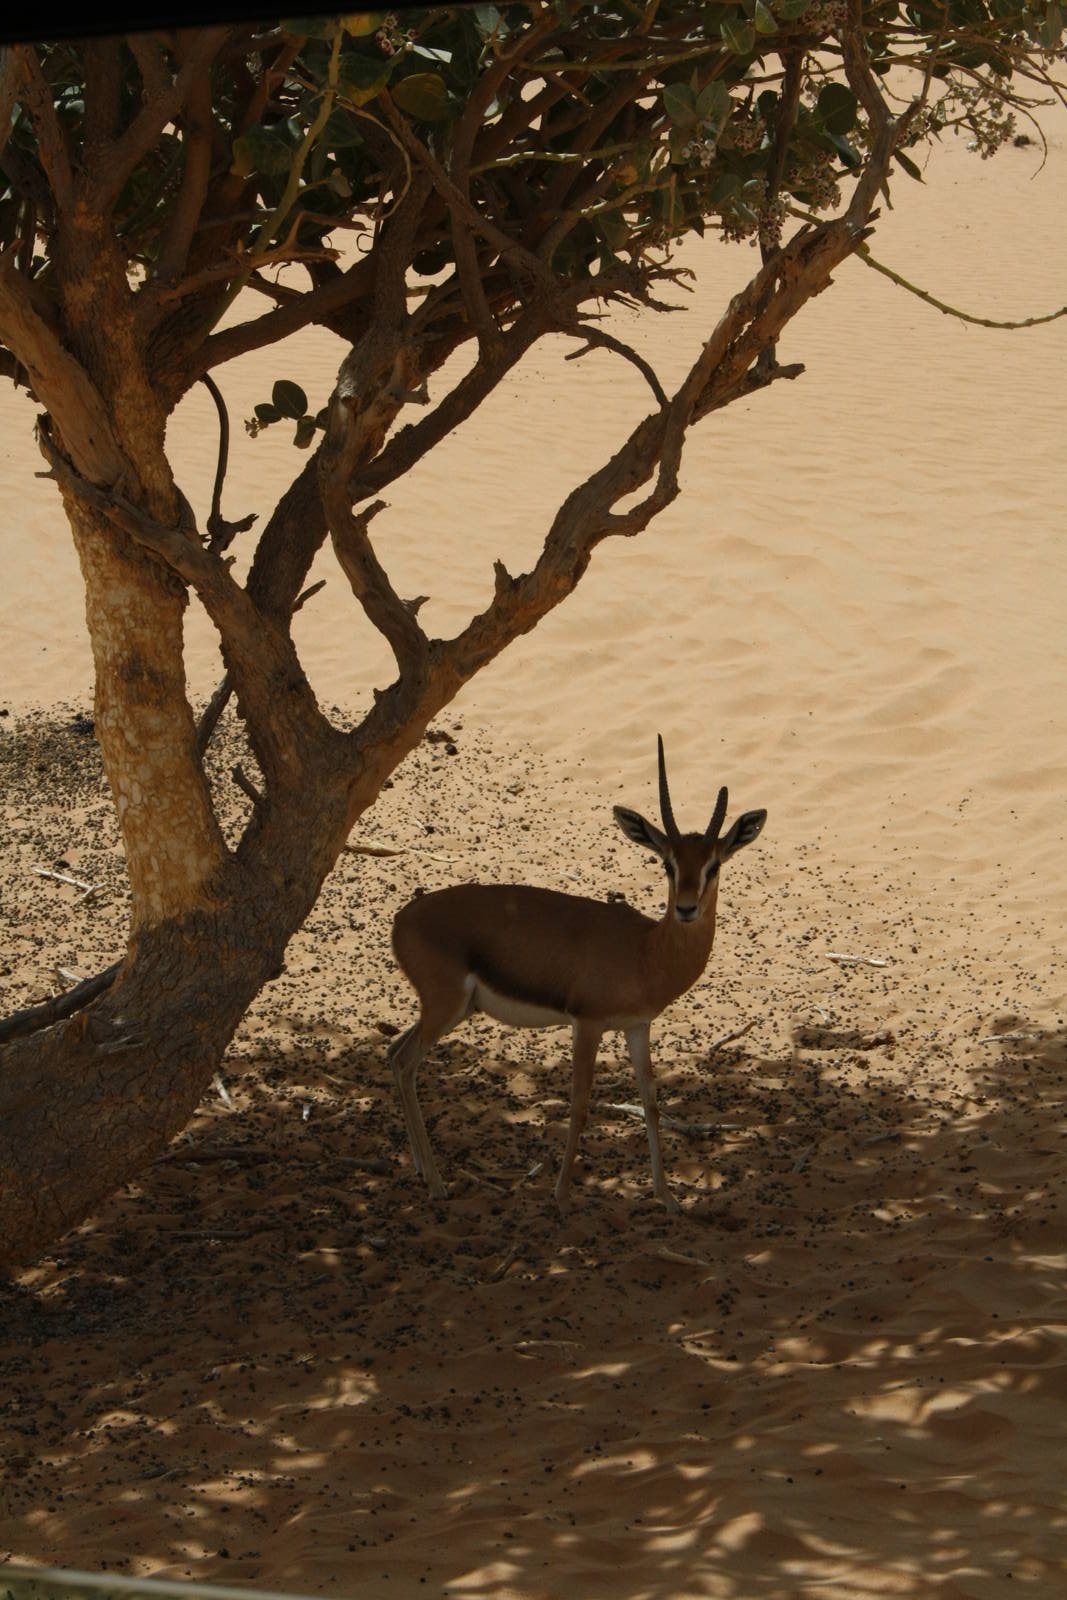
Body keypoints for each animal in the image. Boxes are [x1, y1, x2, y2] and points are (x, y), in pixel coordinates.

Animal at [387, 738, 766, 1210]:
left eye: (713, 865)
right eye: (667, 864)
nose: (685, 909)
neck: (644, 951)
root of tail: (402, 919)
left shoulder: (636, 1027)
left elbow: (651, 1103)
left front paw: (667, 1197)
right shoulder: (588, 1023)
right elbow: (581, 1103)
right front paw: (563, 1194)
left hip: (452, 1010)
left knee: (394, 1053)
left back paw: (423, 1170)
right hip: (446, 1007)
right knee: (405, 1063)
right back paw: (437, 1184)